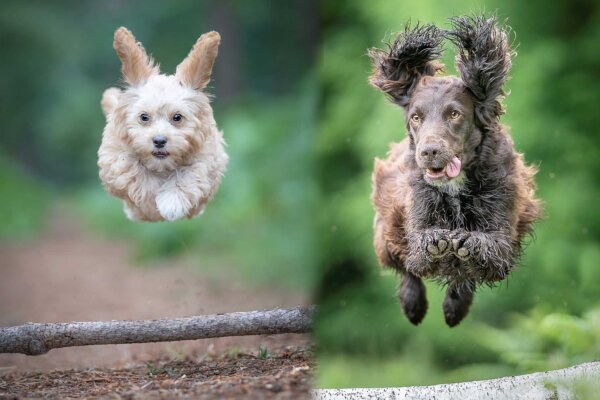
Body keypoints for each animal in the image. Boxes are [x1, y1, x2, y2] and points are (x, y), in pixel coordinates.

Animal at [98, 28, 227, 222]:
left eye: (177, 117)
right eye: (144, 117)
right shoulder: (113, 159)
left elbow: (190, 174)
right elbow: (133, 171)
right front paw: (152, 195)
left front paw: (171, 203)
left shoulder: (207, 158)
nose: (159, 141)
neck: (161, 166)